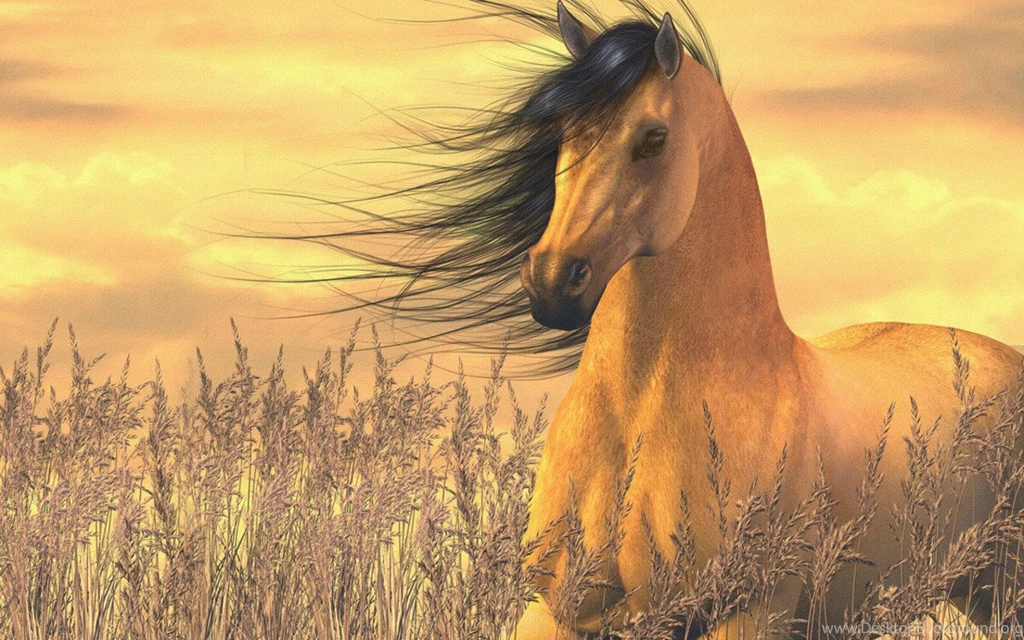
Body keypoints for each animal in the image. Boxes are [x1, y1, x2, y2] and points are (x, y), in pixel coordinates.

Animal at [509, 2, 1024, 638]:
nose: (553, 282)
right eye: (564, 131)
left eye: (653, 139)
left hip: (1004, 585)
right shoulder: (555, 610)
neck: (640, 415)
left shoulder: (748, 609)